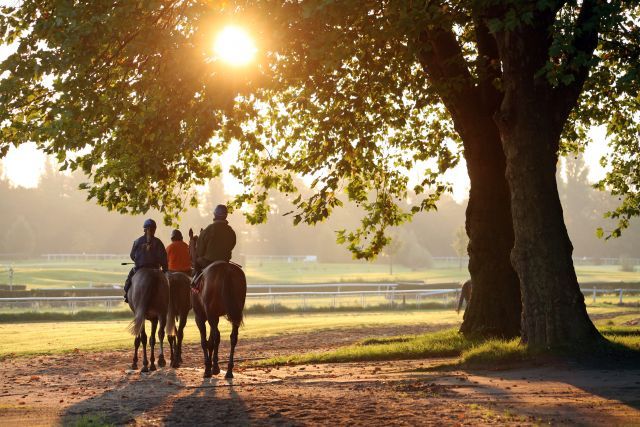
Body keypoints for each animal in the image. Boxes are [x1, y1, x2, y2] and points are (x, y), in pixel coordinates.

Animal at [188, 229, 248, 380]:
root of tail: (226, 270)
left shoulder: (201, 316)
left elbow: (206, 341)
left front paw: (209, 367)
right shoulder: (214, 315)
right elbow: (212, 340)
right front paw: (214, 366)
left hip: (210, 314)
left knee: (215, 336)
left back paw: (213, 369)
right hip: (234, 312)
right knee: (233, 337)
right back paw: (229, 370)